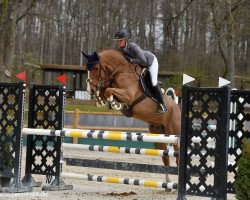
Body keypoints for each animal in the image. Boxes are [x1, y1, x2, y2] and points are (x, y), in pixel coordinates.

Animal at [82, 48, 182, 183]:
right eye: (86, 68)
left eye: (96, 68)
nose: (90, 90)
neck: (120, 71)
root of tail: (177, 107)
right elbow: (105, 91)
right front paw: (102, 100)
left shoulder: (128, 95)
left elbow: (108, 91)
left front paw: (115, 103)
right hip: (159, 133)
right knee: (165, 156)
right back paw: (168, 182)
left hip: (173, 133)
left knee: (177, 156)